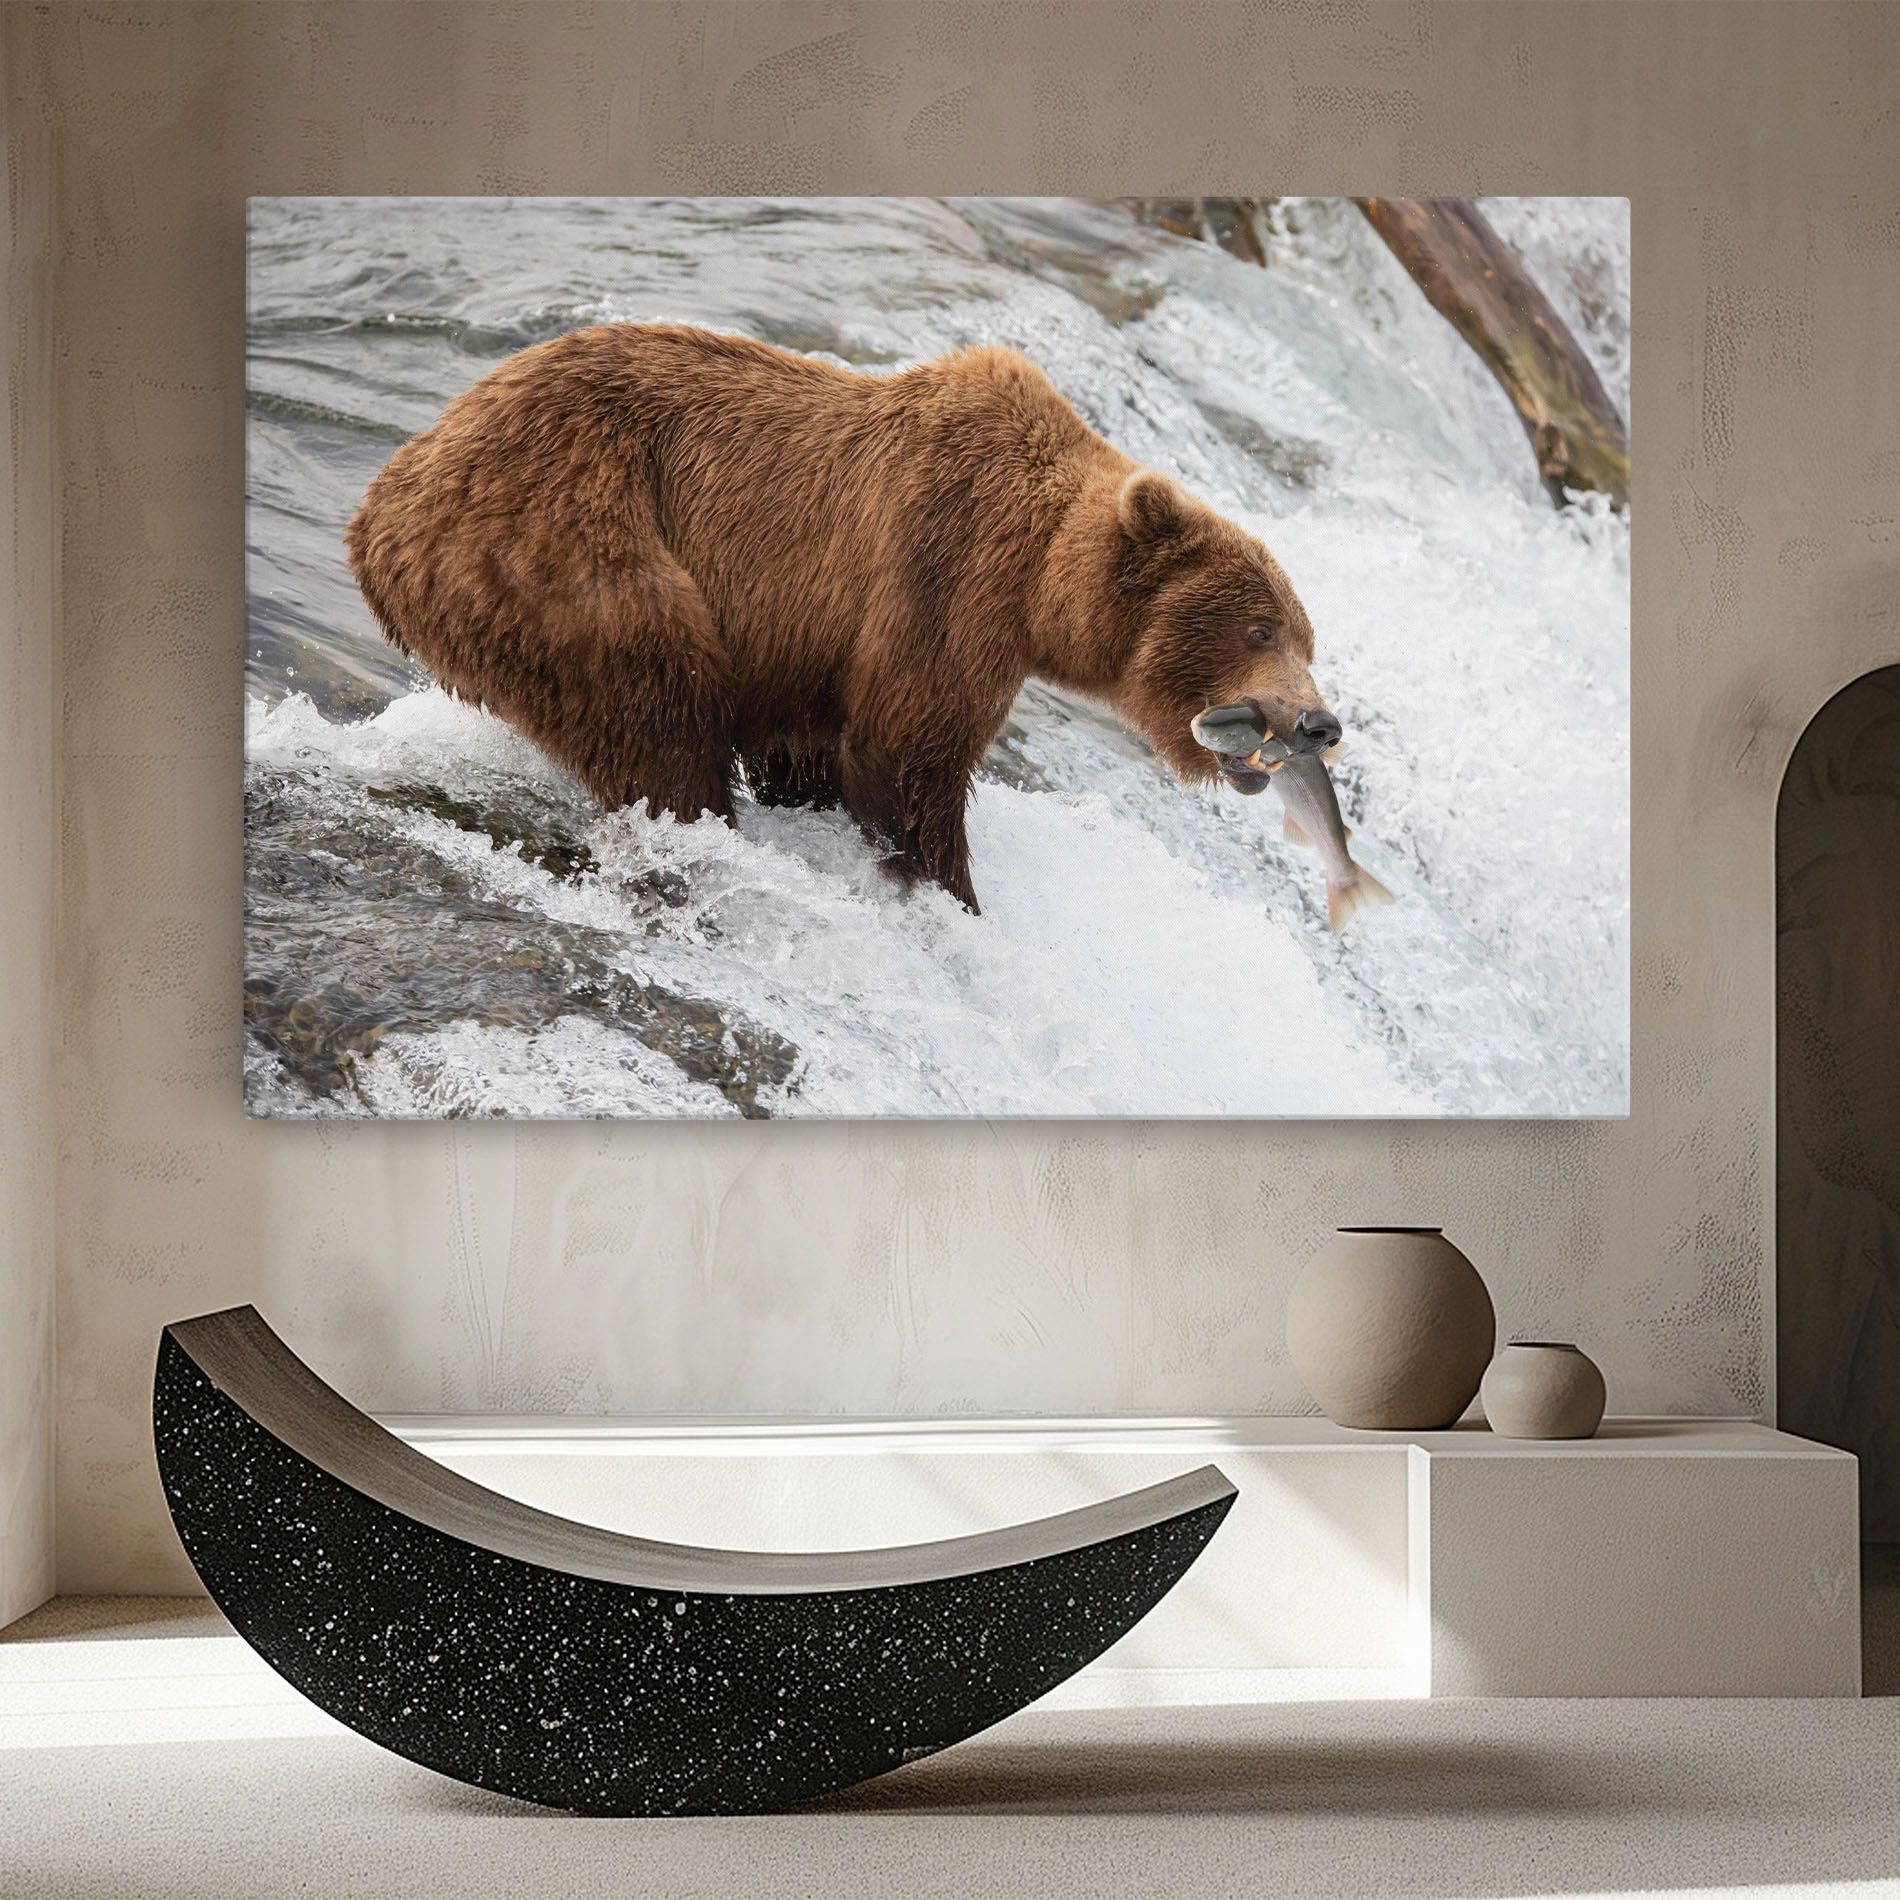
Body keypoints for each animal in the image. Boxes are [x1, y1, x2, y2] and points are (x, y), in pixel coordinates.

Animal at [346, 323, 1340, 913]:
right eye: (1260, 629)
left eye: (1307, 636)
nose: (1319, 723)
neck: (1039, 580)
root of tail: (384, 502)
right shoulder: (943, 574)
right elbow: (907, 756)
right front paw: (950, 893)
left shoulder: (810, 650)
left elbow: (813, 751)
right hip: (568, 546)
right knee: (658, 713)